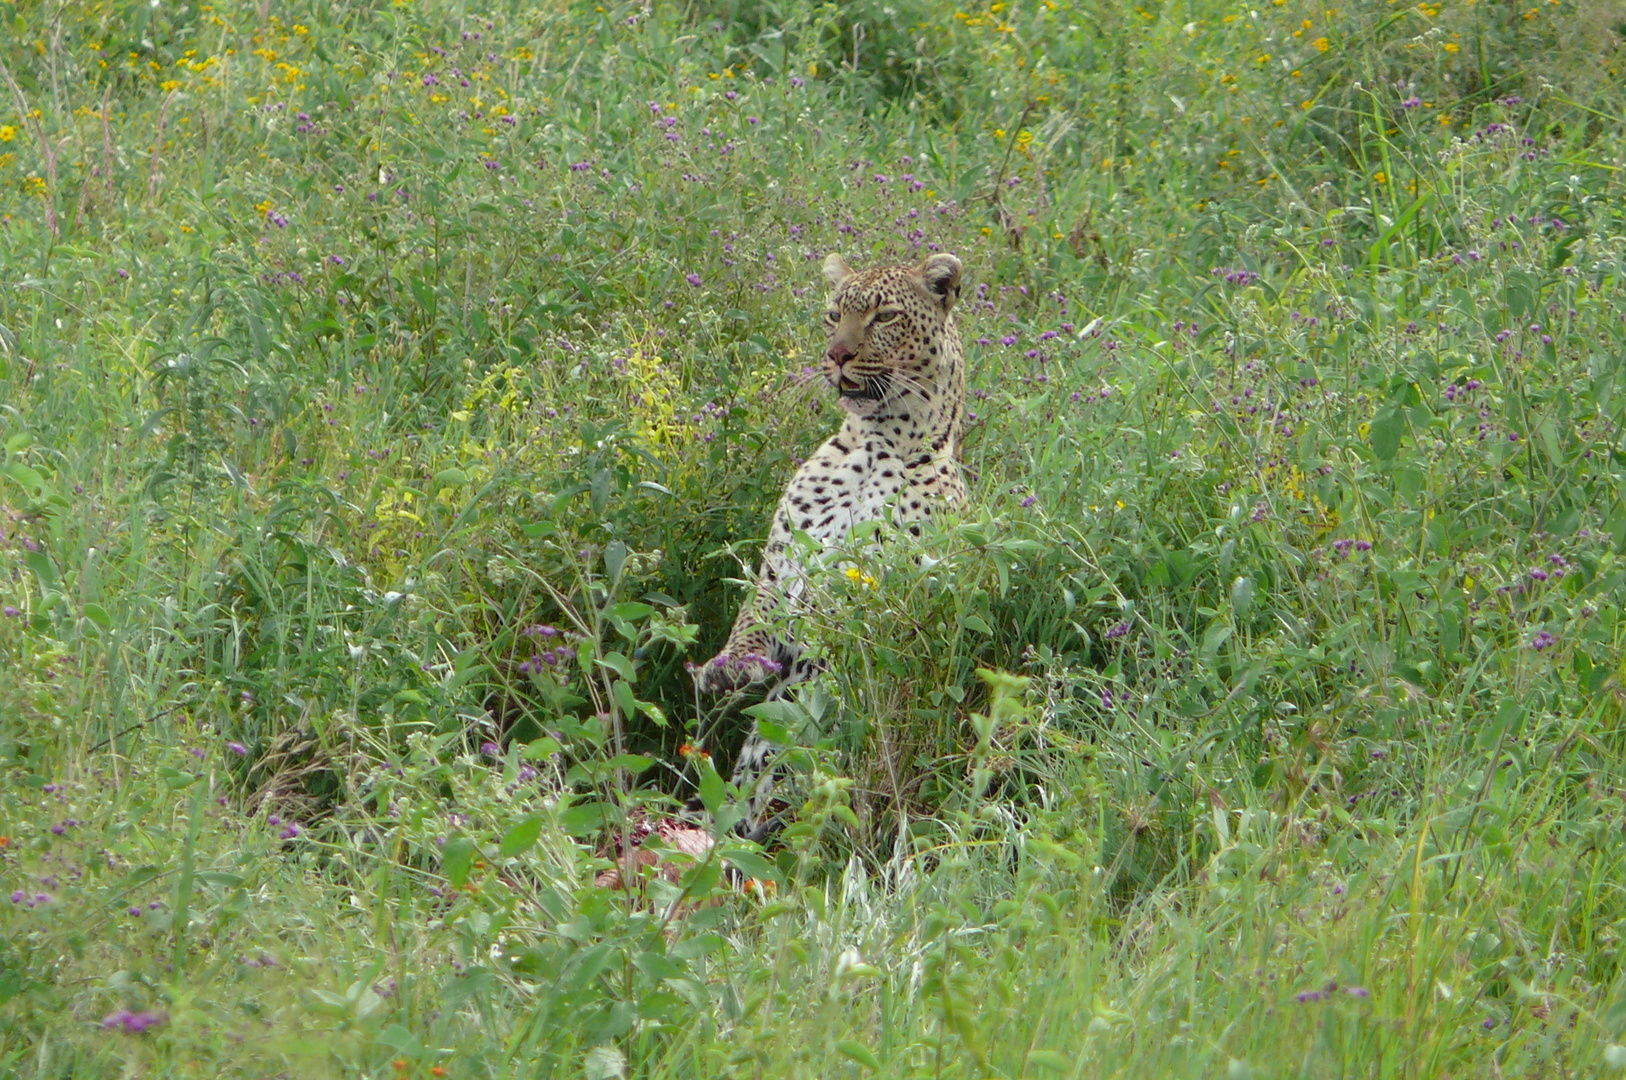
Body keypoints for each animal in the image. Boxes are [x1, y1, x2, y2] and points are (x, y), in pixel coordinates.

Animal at [686, 250, 962, 832]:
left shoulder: (890, 592)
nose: (836, 354)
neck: (875, 446)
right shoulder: (778, 568)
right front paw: (728, 668)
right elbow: (753, 619)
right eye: (834, 315)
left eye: (884, 317)